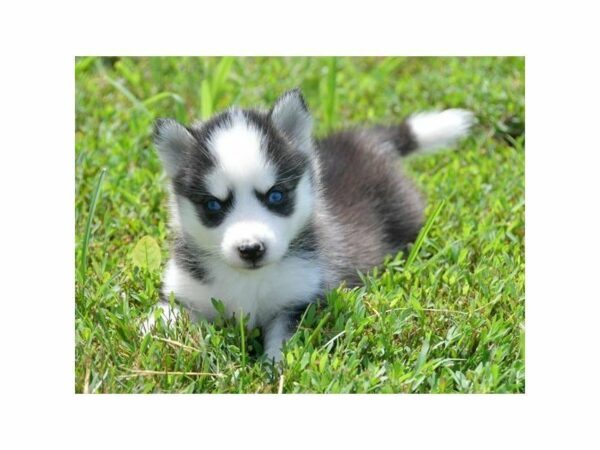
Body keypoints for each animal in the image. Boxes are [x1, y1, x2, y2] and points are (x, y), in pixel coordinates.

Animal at [146, 89, 474, 362]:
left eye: (276, 195)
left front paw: (274, 371)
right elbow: (161, 319)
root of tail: (362, 138)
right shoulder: (182, 291)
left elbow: (283, 344)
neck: (249, 280)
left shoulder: (301, 300)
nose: (251, 249)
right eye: (214, 205)